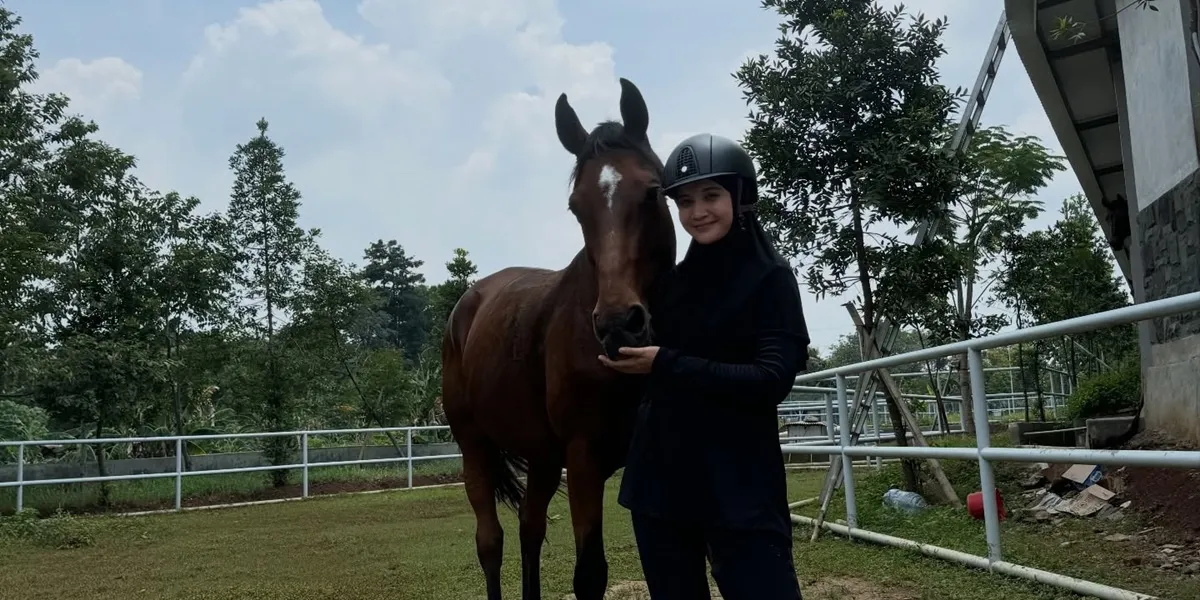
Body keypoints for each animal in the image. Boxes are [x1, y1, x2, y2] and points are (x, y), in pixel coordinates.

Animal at [441, 78, 676, 600]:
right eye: (576, 207)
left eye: (652, 192)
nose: (618, 323)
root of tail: (468, 304)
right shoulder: (584, 458)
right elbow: (589, 574)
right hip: (475, 447)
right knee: (490, 540)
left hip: (543, 456)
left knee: (530, 527)